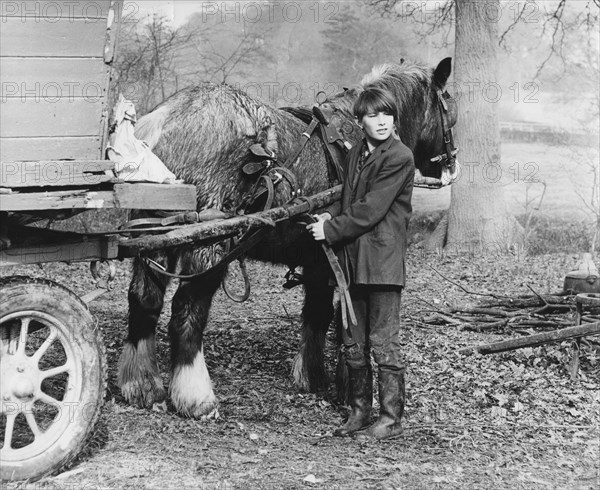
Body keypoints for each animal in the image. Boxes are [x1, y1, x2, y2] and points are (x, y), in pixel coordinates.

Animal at [118, 56, 460, 418]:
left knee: (144, 300)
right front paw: (341, 384)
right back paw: (195, 396)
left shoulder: (318, 261)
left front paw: (311, 374)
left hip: (154, 239)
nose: (452, 165)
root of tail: (164, 120)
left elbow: (316, 314)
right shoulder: (335, 262)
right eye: (449, 109)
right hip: (207, 247)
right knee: (186, 312)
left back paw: (140, 383)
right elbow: (340, 322)